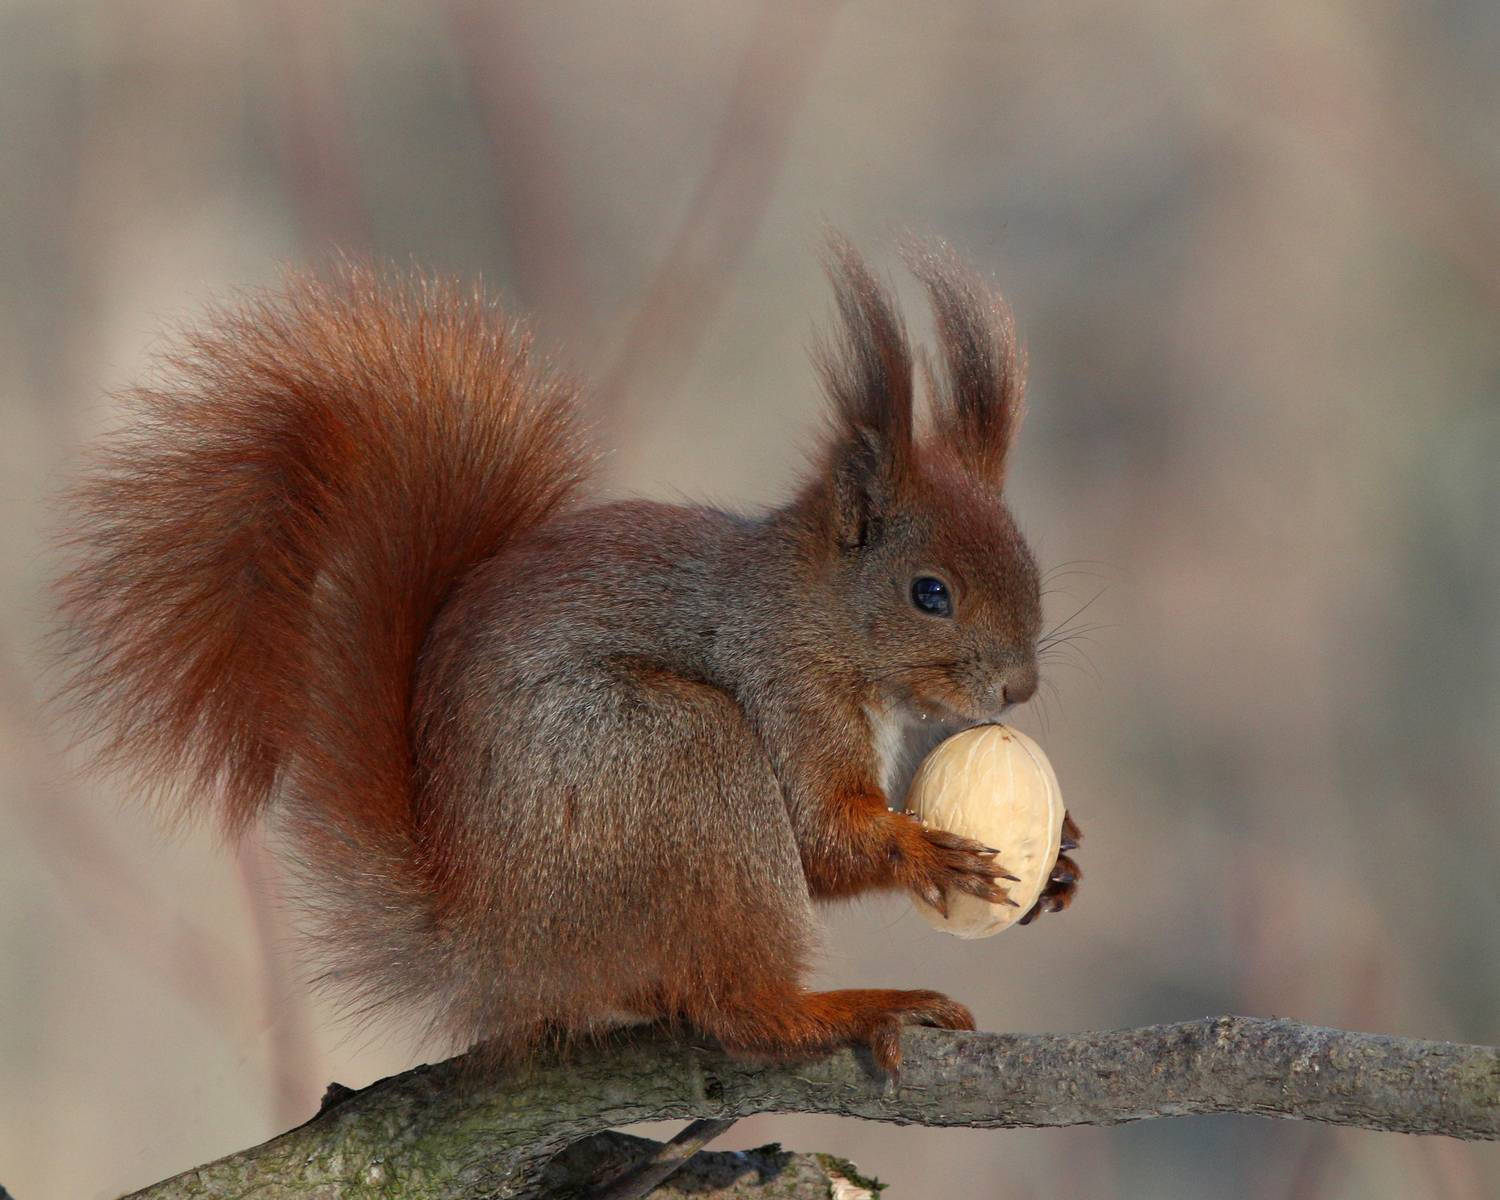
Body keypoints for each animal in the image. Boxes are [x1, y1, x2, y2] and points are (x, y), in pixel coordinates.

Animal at [55, 235, 1080, 1075]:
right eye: (929, 594)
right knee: (737, 1011)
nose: (1019, 686)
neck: (816, 616)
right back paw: (852, 1009)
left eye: (1029, 560)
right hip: (681, 761)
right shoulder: (780, 681)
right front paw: (928, 850)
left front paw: (1063, 861)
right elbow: (825, 839)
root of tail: (494, 951)